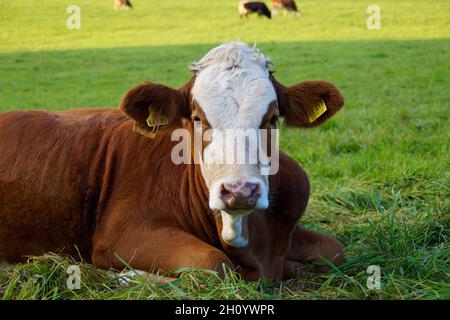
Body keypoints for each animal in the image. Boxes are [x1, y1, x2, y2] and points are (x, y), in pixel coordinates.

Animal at [0, 43, 344, 282]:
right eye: (197, 118)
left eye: (271, 119)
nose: (240, 191)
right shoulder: (122, 235)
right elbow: (213, 263)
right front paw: (128, 276)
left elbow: (334, 251)